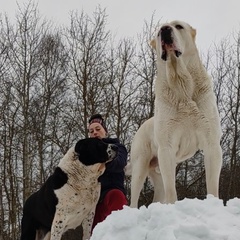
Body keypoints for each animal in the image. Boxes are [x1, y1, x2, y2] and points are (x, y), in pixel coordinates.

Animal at [129, 20, 223, 206]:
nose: (165, 29)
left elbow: (212, 185)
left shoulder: (212, 144)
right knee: (134, 198)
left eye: (178, 26)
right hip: (140, 166)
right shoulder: (166, 148)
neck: (181, 84)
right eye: (158, 32)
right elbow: (172, 190)